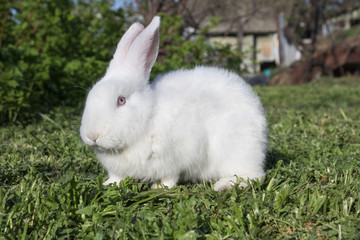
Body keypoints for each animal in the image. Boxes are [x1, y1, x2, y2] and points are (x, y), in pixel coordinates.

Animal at [81, 15, 268, 191]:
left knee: (254, 176)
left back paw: (224, 185)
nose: (92, 136)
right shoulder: (118, 169)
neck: (148, 118)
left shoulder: (174, 156)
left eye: (121, 100)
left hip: (238, 150)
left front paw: (159, 187)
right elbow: (116, 177)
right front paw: (109, 184)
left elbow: (170, 177)